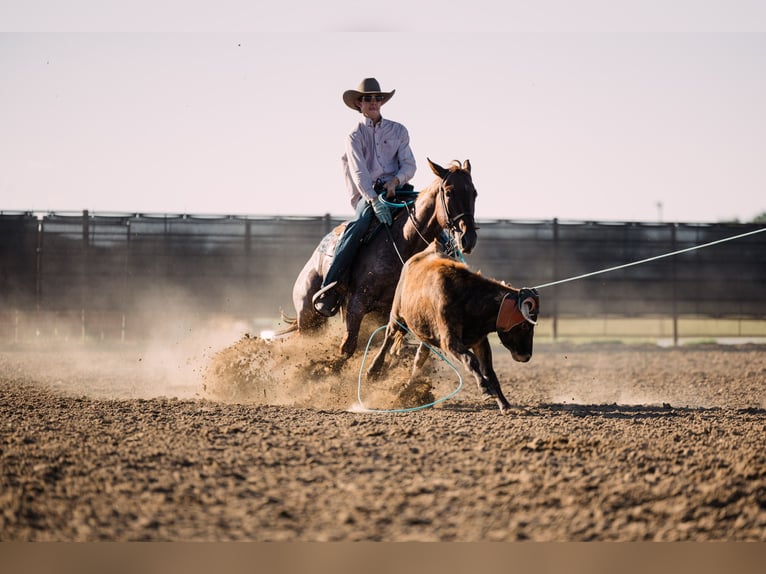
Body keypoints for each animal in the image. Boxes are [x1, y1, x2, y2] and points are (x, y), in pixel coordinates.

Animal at [280, 160, 476, 362]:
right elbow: (347, 347)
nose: (468, 238)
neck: (403, 241)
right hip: (309, 318)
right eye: (449, 192)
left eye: (474, 193)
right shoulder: (357, 303)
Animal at [368, 244, 540, 414]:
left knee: (419, 359)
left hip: (424, 334)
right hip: (397, 314)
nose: (526, 356)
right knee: (388, 337)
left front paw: (505, 405)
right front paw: (485, 390)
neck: (468, 298)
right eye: (525, 325)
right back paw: (373, 370)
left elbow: (489, 371)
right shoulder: (449, 341)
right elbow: (470, 360)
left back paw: (405, 391)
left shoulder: (480, 341)